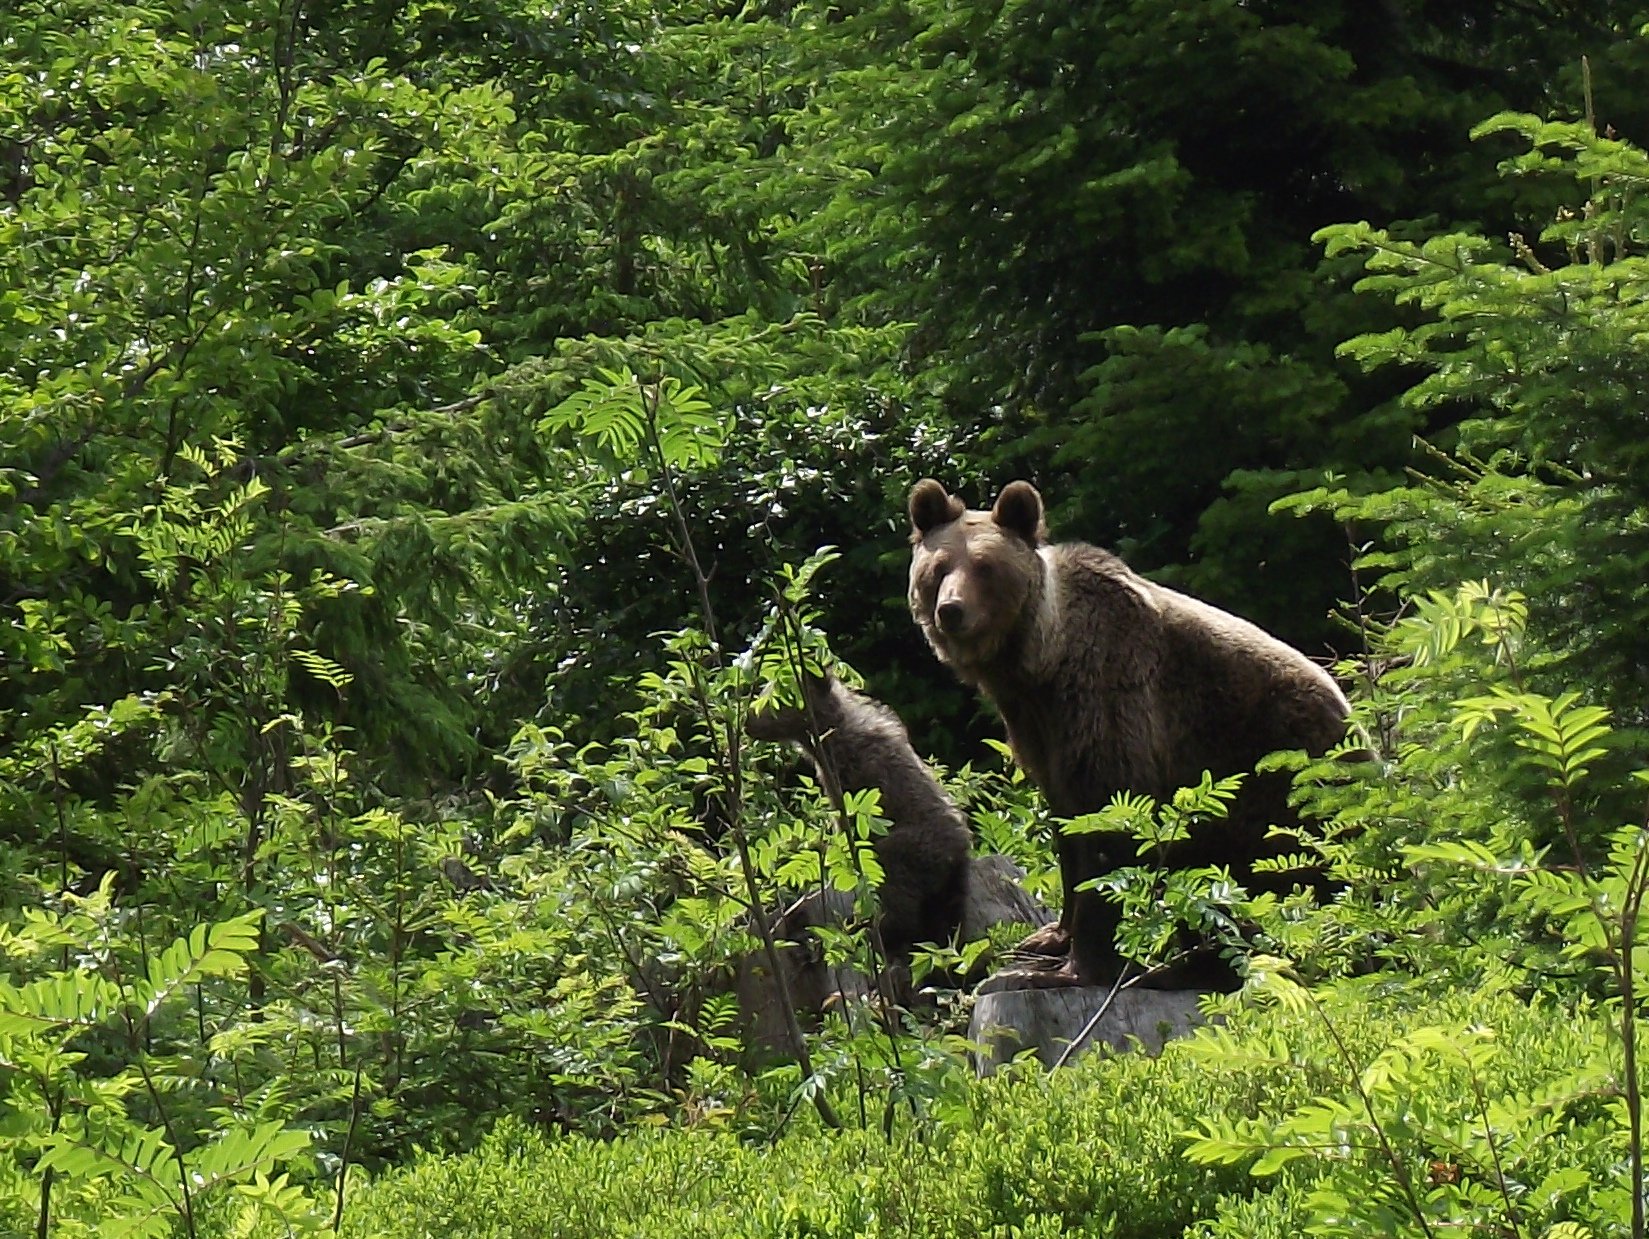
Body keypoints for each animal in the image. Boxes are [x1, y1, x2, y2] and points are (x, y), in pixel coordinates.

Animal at [903, 478, 1352, 996]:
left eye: (985, 566)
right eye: (938, 567)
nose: (951, 610)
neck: (1037, 664)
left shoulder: (1108, 693)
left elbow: (1108, 821)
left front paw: (1065, 969)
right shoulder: (1040, 729)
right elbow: (1068, 828)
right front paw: (1047, 938)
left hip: (1276, 777)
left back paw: (1178, 969)